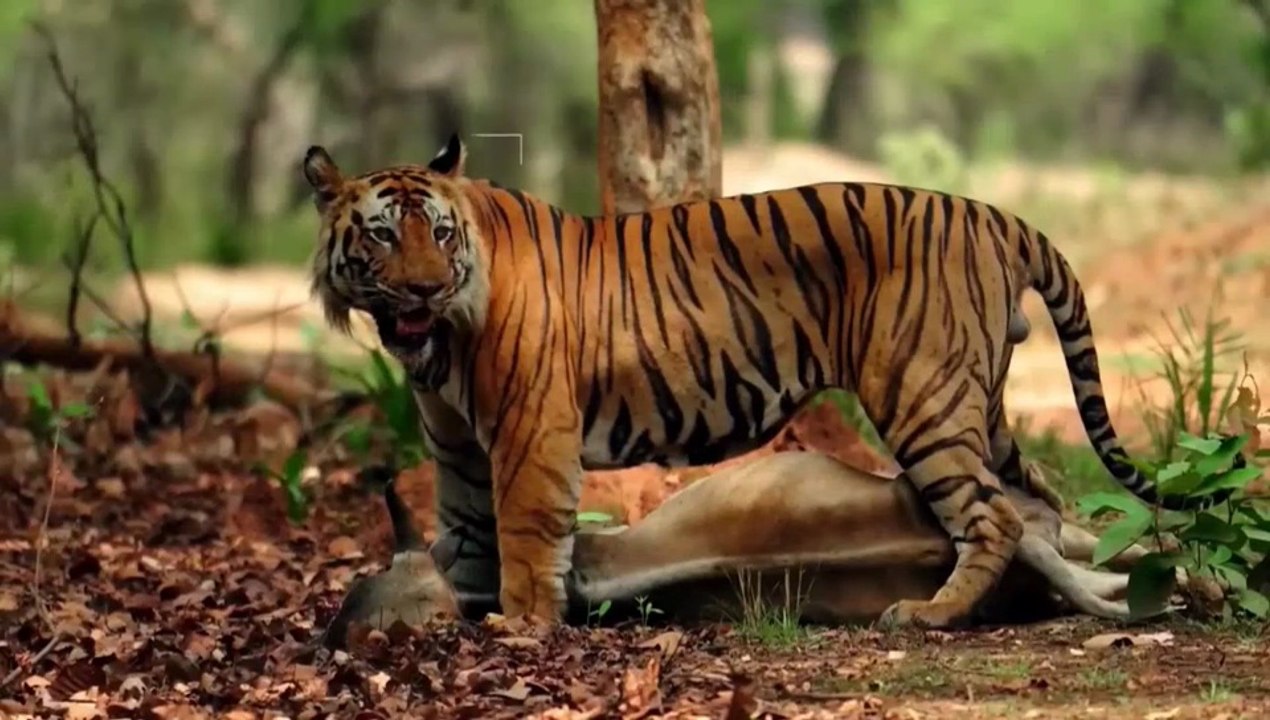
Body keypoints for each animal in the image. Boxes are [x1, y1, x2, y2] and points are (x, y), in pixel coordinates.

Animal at [301, 133, 1223, 629]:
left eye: (438, 234)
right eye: (381, 236)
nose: (424, 290)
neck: (434, 346)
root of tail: (995, 213)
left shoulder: (532, 432)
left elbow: (525, 538)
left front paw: (521, 627)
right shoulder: (456, 443)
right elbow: (466, 529)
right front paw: (458, 604)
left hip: (922, 396)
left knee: (991, 517)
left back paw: (932, 614)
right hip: (979, 406)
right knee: (1041, 503)